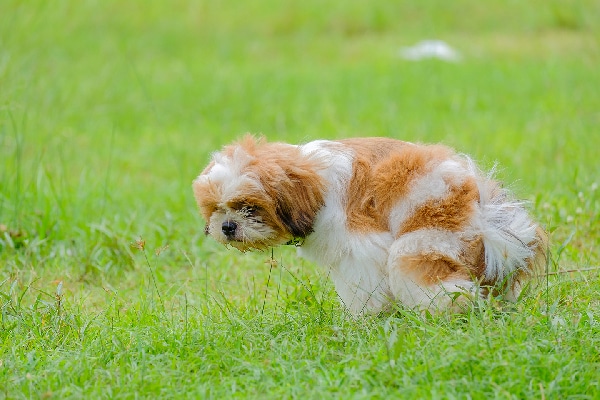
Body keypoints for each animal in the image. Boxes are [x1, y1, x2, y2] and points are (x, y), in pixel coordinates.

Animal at [193, 136, 548, 314]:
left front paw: (364, 318)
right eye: (215, 209)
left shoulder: (359, 246)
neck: (314, 183)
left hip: (421, 239)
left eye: (249, 208)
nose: (227, 226)